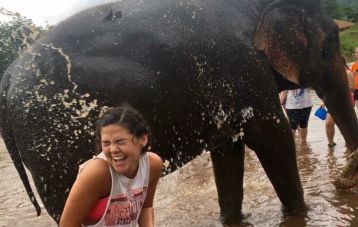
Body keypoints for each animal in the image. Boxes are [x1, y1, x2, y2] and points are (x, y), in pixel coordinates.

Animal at [0, 0, 358, 225]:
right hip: (52, 147)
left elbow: (228, 150)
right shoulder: (242, 66)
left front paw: (232, 219)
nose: (340, 182)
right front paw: (300, 214)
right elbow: (272, 138)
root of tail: (7, 79)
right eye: (328, 47)